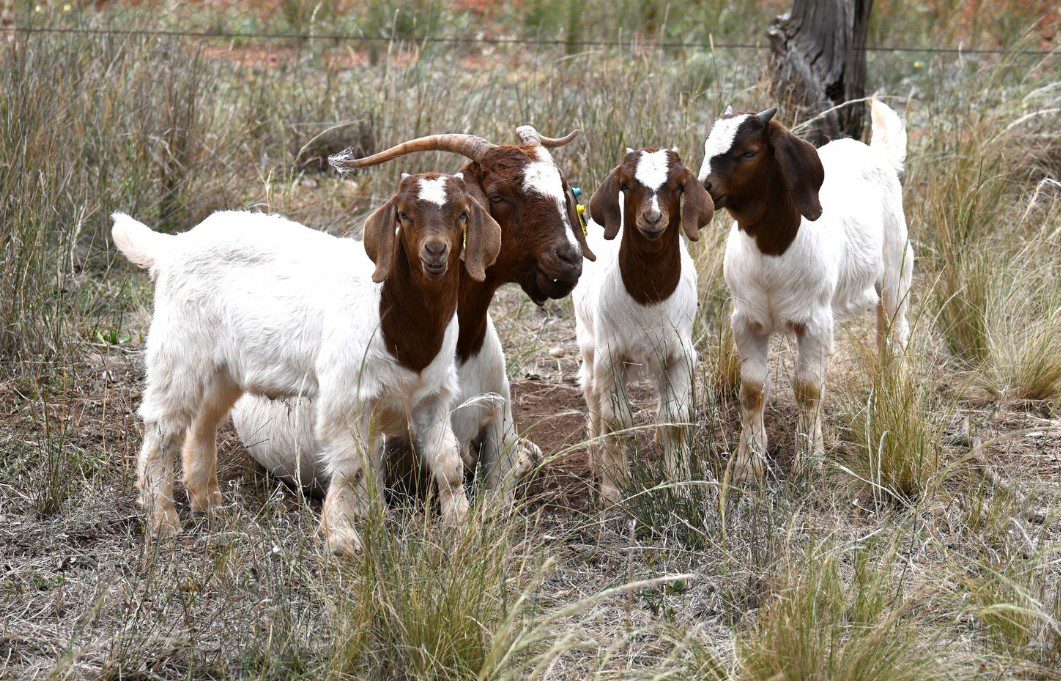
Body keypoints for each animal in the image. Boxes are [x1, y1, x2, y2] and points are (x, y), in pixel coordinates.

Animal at [112, 172, 501, 555]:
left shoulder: (431, 396)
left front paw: (461, 528)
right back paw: (163, 520)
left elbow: (449, 463)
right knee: (163, 428)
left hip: (224, 369)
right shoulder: (345, 393)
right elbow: (351, 467)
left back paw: (207, 502)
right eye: (404, 215)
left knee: (202, 422)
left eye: (462, 215)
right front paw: (341, 538)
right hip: (180, 351)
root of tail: (172, 246)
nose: (435, 250)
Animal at [575, 147, 715, 503]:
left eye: (679, 186)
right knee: (591, 392)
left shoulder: (679, 353)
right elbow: (616, 418)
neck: (648, 296)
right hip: (588, 341)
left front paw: (679, 485)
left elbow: (677, 418)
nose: (652, 218)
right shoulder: (610, 353)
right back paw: (595, 458)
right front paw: (613, 489)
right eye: (626, 185)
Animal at [697, 99, 912, 480]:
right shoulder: (746, 321)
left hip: (896, 266)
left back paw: (893, 394)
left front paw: (809, 459)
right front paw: (749, 462)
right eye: (706, 147)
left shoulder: (814, 321)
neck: (773, 252)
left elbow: (809, 388)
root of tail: (875, 153)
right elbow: (752, 389)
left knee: (894, 331)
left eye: (749, 151)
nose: (702, 188)